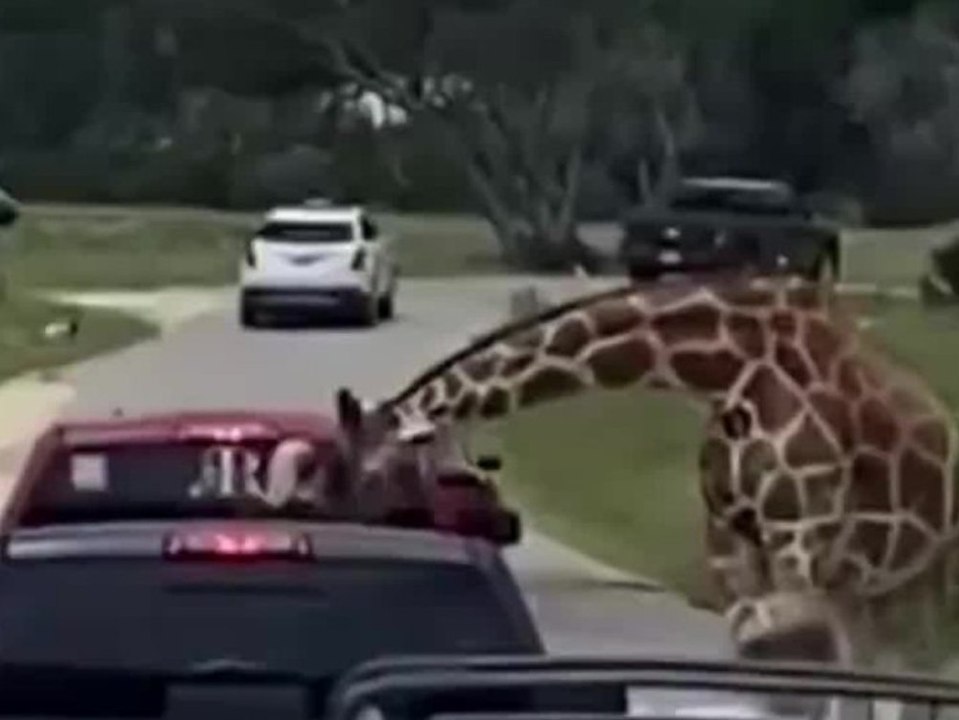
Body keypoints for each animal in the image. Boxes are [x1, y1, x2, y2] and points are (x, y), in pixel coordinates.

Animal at [333, 274, 959, 668]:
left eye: (372, 474)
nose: (347, 529)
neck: (729, 367)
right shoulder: (732, 549)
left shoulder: (800, 544)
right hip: (873, 590)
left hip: (923, 581)